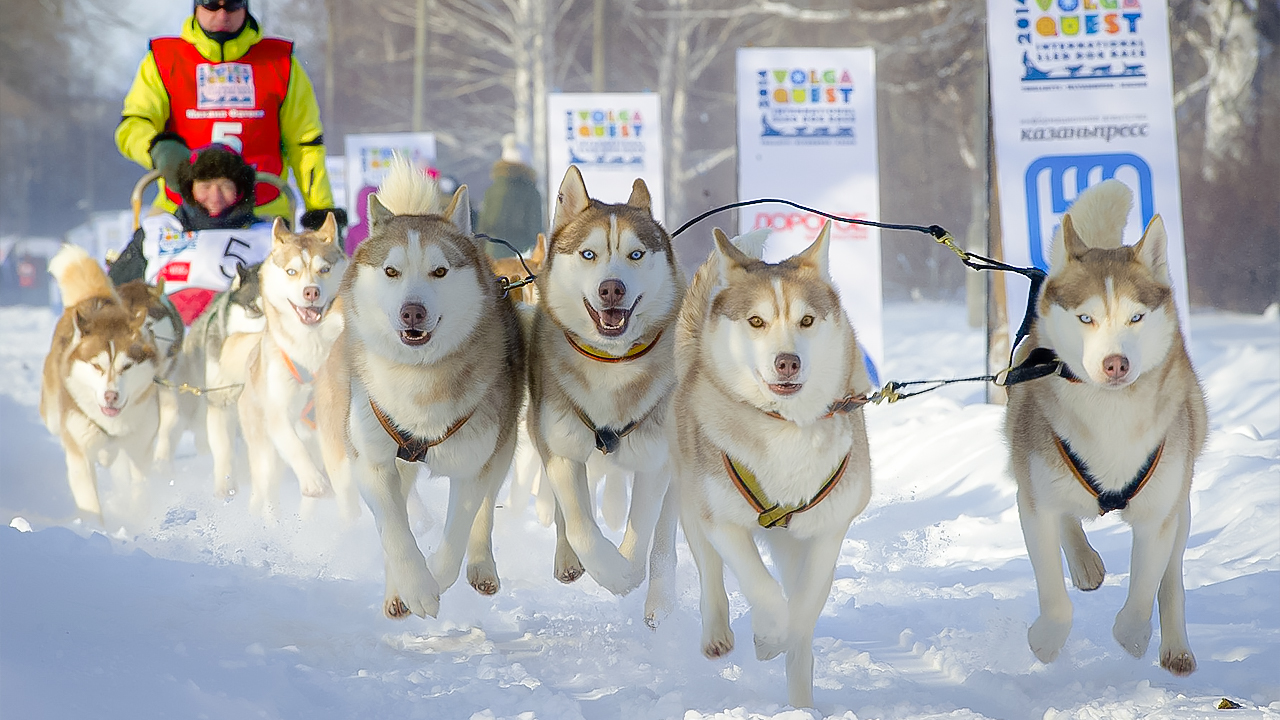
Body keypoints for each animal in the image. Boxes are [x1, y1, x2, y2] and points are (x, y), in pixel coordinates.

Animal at [40, 243, 161, 517]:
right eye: (97, 366)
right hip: (52, 416)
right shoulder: (80, 456)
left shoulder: (141, 450)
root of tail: (93, 299)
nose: (110, 396)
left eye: (127, 366)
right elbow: (91, 505)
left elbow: (140, 490)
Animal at [236, 212, 348, 515]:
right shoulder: (278, 411)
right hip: (266, 463)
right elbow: (293, 444)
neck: (312, 348)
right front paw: (312, 480)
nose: (311, 292)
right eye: (291, 271)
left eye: (324, 269)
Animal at [317, 156, 522, 617]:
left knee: (486, 511)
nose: (413, 311)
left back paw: (482, 567)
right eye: (391, 271)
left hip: (503, 446)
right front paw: (412, 585)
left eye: (439, 271)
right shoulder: (372, 461)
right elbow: (394, 529)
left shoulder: (472, 465)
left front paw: (434, 581)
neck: (419, 378)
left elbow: (458, 532)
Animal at [675, 224, 875, 707]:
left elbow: (804, 606)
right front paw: (769, 636)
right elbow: (759, 584)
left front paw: (785, 643)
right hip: (692, 501)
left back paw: (801, 702)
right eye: (756, 321)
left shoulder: (828, 530)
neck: (787, 428)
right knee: (711, 572)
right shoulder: (721, 518)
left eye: (807, 320)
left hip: (792, 542)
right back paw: (717, 633)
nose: (787, 362)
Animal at [1003, 179, 1203, 671]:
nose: (1116, 363)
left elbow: (1145, 588)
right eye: (1085, 318)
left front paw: (1133, 636)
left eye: (1136, 316)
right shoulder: (1033, 500)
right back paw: (1084, 563)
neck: (1110, 418)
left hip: (1182, 497)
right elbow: (1054, 591)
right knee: (1067, 521)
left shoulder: (1159, 513)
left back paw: (1176, 646)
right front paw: (1046, 640)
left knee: (1172, 577)